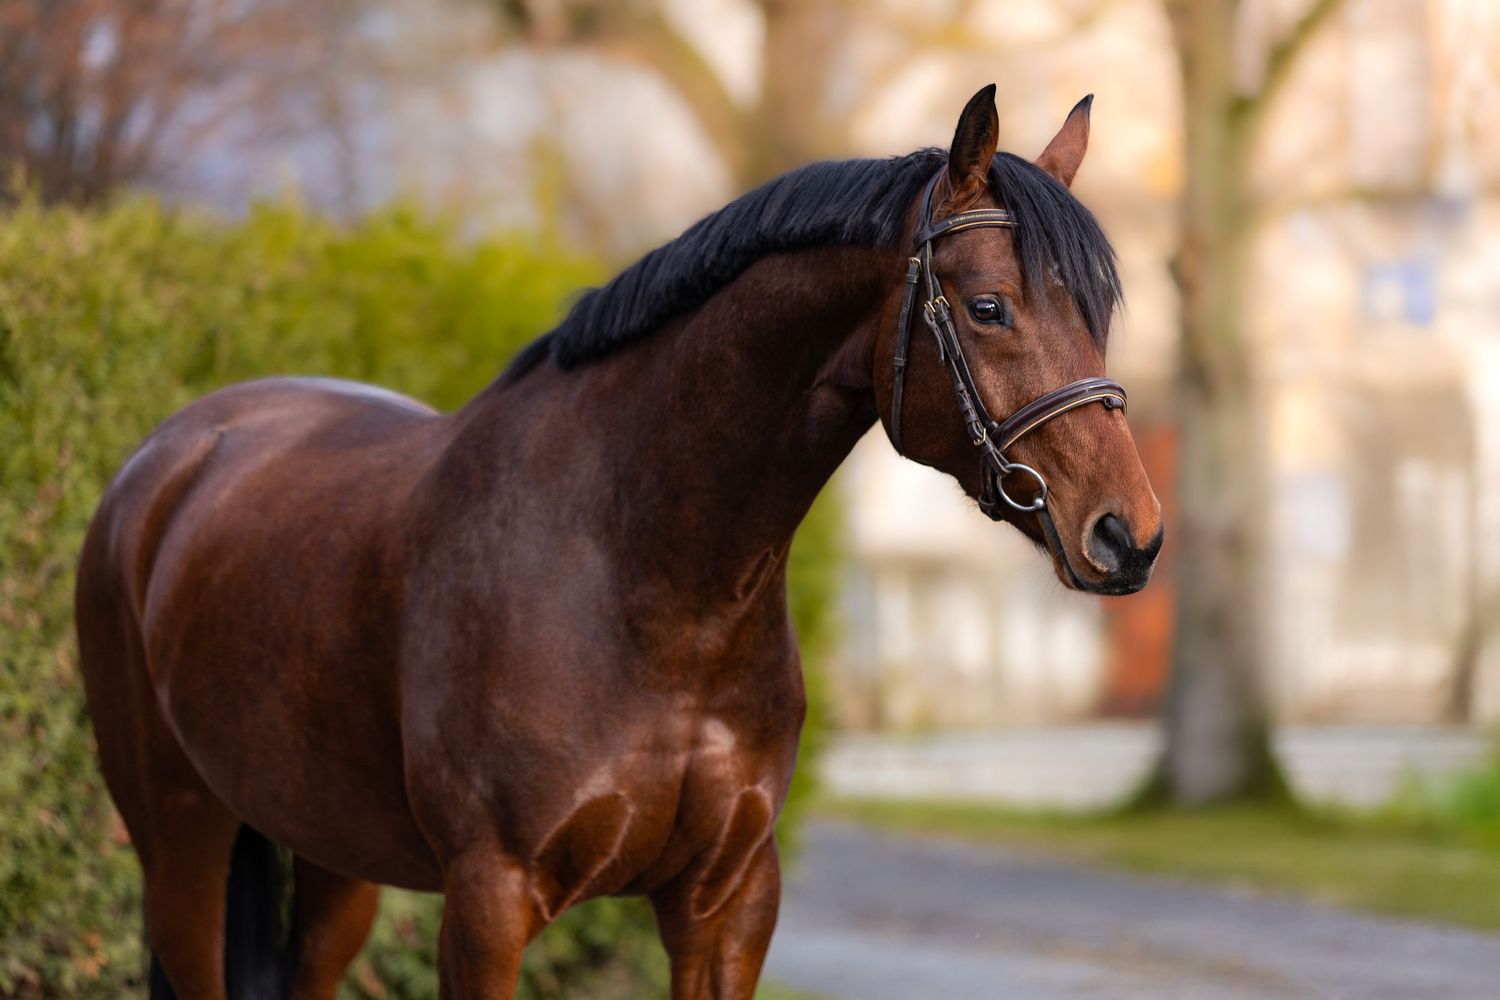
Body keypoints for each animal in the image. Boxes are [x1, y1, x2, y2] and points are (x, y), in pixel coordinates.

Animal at [75, 84, 1162, 999]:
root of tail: (166, 461)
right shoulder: (489, 901)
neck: (649, 582)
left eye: (1096, 311)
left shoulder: (727, 902)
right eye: (987, 307)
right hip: (181, 837)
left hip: (332, 855)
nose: (1129, 535)